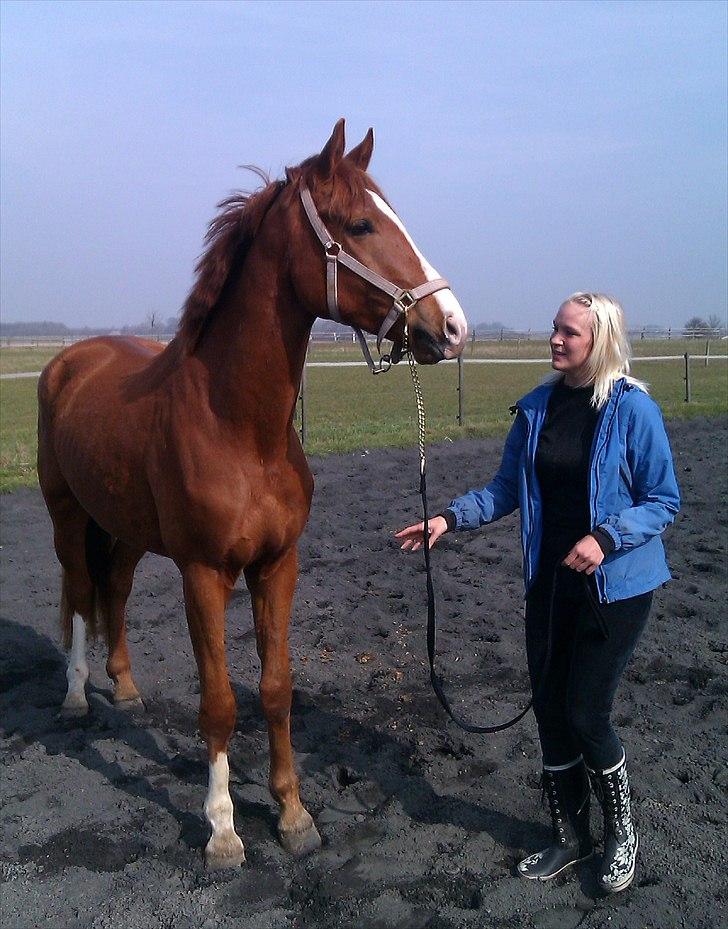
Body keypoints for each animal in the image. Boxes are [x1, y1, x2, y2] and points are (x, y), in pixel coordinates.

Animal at [37, 119, 470, 868]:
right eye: (359, 224)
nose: (451, 325)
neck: (240, 428)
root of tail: (70, 361)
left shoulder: (277, 565)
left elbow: (274, 689)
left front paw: (293, 815)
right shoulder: (204, 573)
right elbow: (219, 702)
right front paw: (223, 829)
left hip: (123, 527)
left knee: (112, 590)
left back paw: (125, 687)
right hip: (68, 514)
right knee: (78, 593)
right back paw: (76, 695)